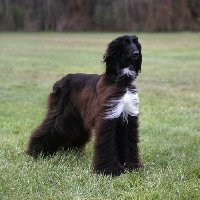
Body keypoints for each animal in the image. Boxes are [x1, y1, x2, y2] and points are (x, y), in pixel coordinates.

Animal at [26, 35, 143, 175]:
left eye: (136, 42)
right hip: (61, 111)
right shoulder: (107, 116)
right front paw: (110, 169)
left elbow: (128, 141)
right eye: (125, 43)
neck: (121, 81)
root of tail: (58, 82)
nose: (136, 54)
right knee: (50, 126)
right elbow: (108, 142)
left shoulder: (127, 117)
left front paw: (132, 166)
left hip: (74, 115)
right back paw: (36, 151)